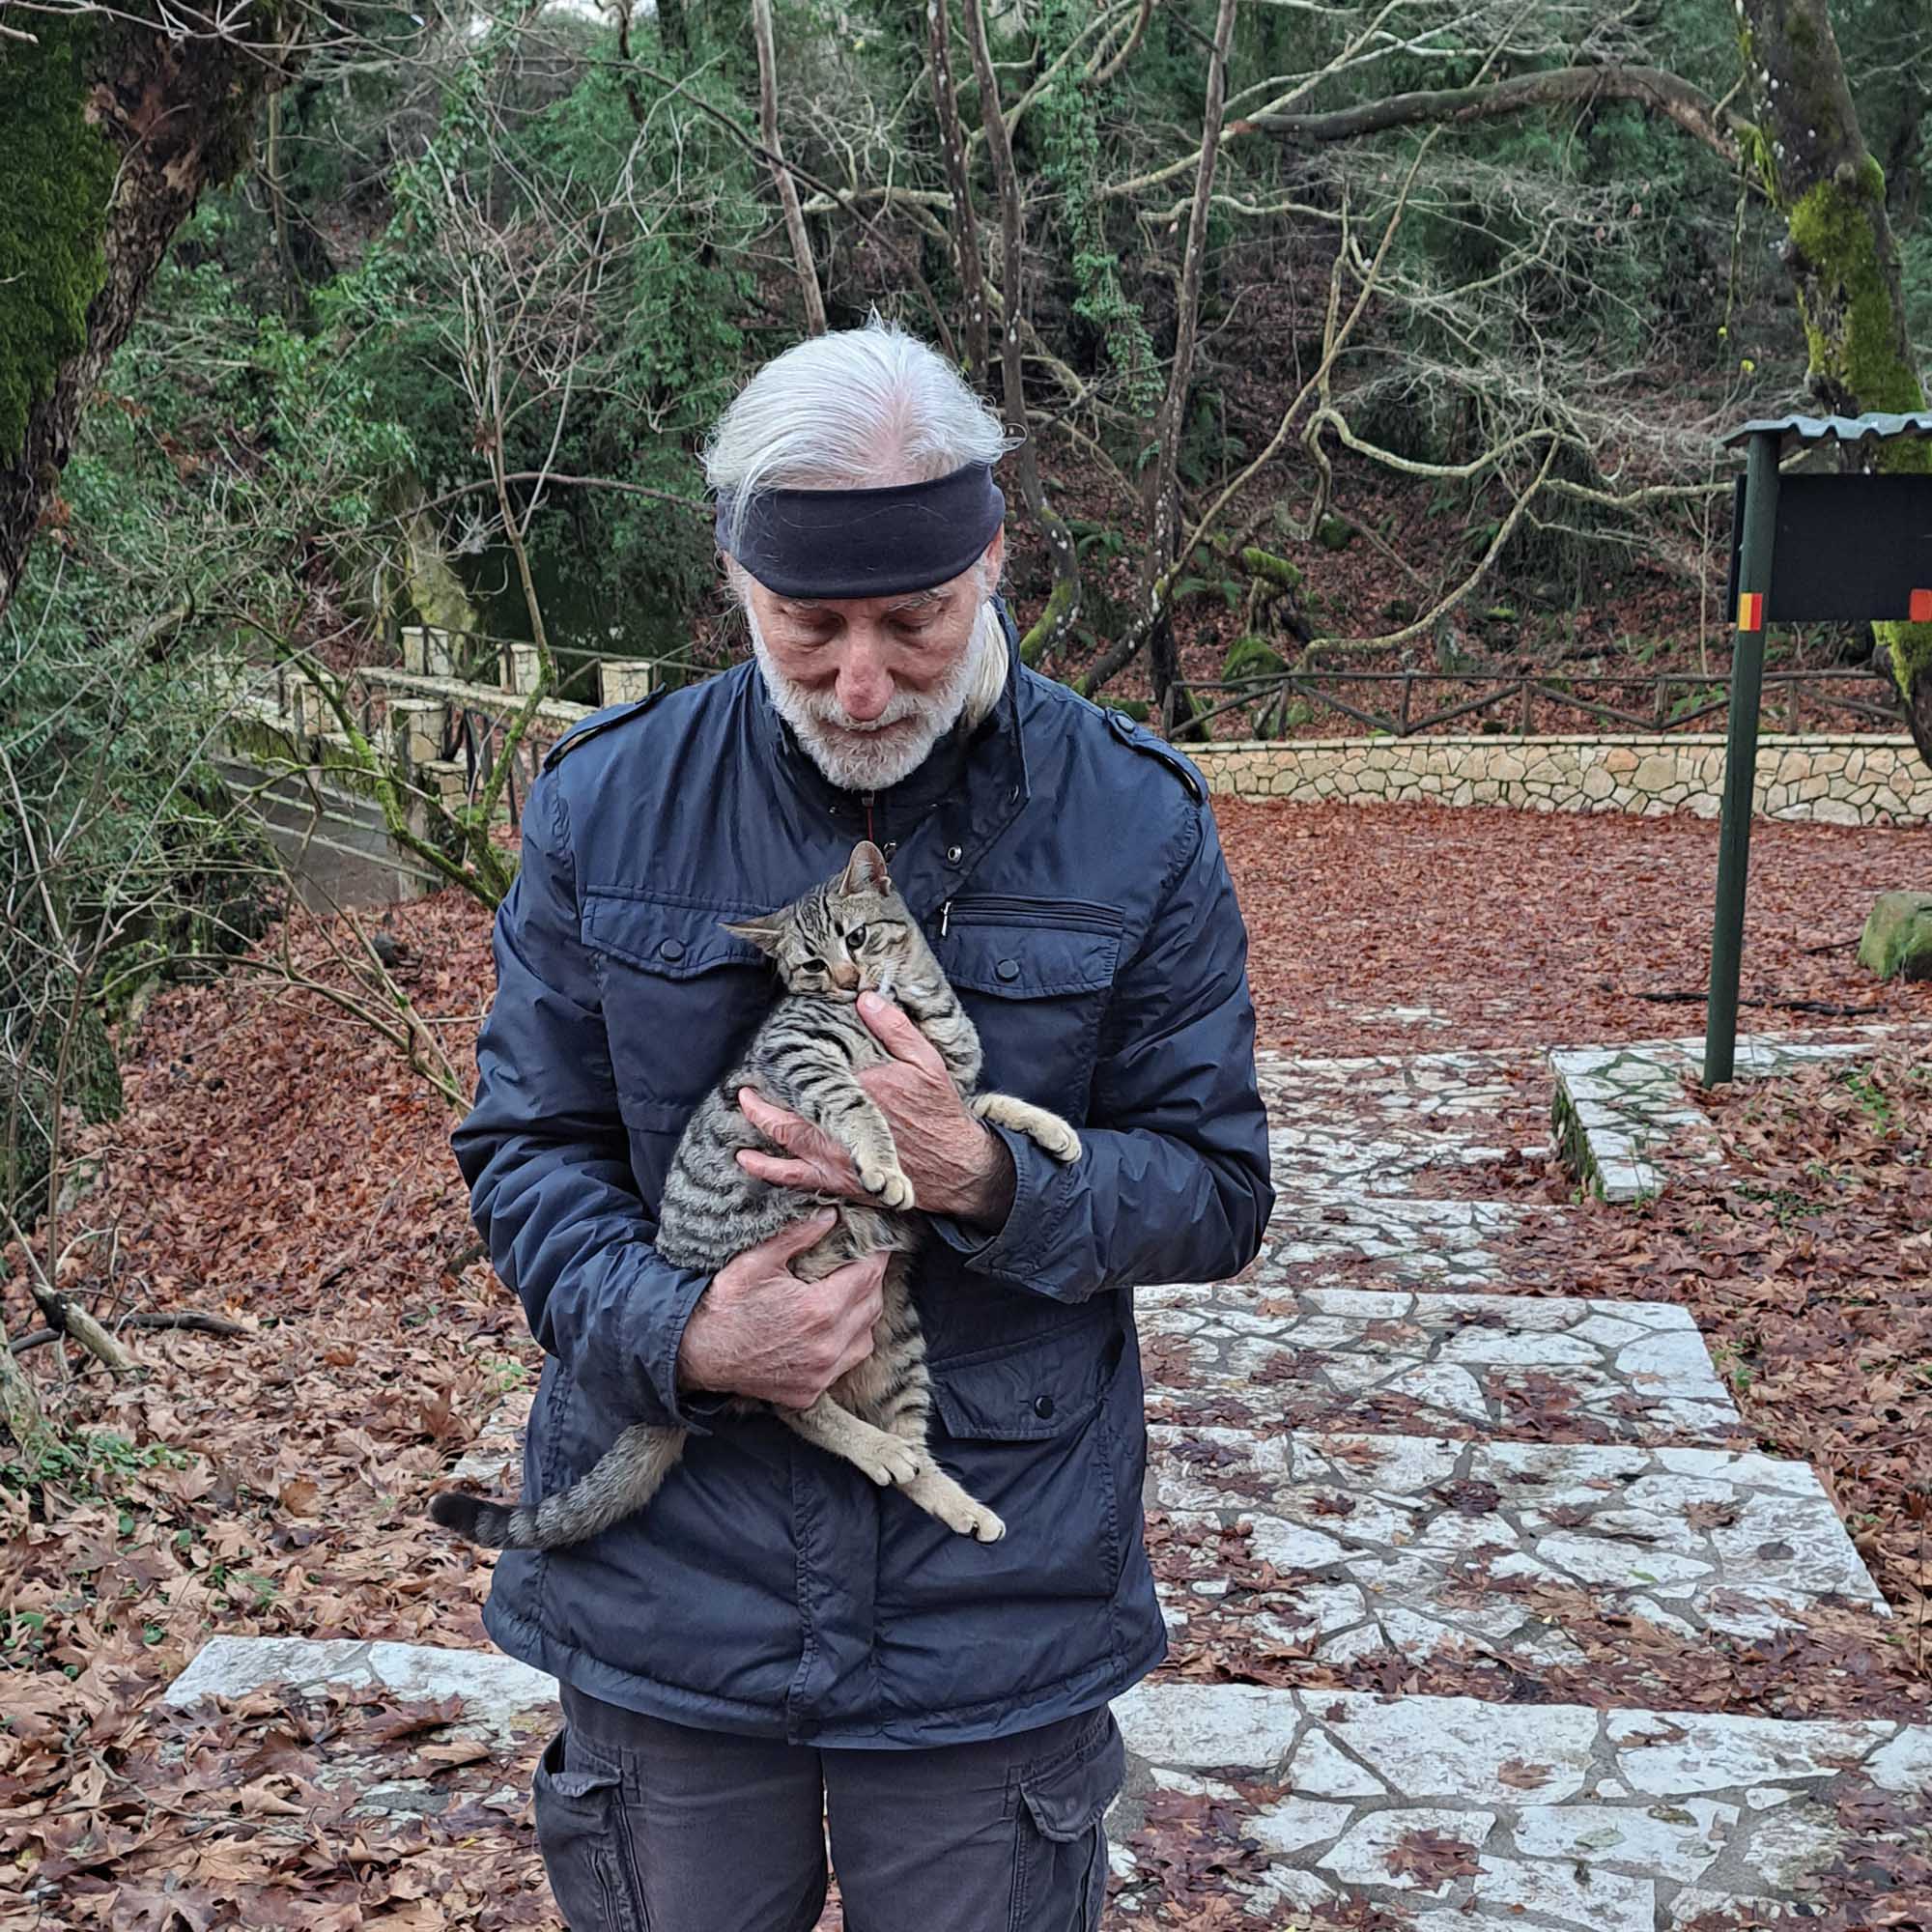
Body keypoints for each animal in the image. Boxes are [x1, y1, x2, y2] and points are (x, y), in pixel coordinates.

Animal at [429, 842, 1082, 1553]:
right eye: (813, 965)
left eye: (856, 938)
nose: (848, 980)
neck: (913, 1007)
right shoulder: (801, 1054)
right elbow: (859, 1102)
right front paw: (885, 1163)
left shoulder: (950, 1094)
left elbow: (989, 1109)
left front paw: (1053, 1130)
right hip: (793, 1309)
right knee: (792, 1406)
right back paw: (880, 1450)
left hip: (899, 1342)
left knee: (902, 1439)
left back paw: (951, 1496)